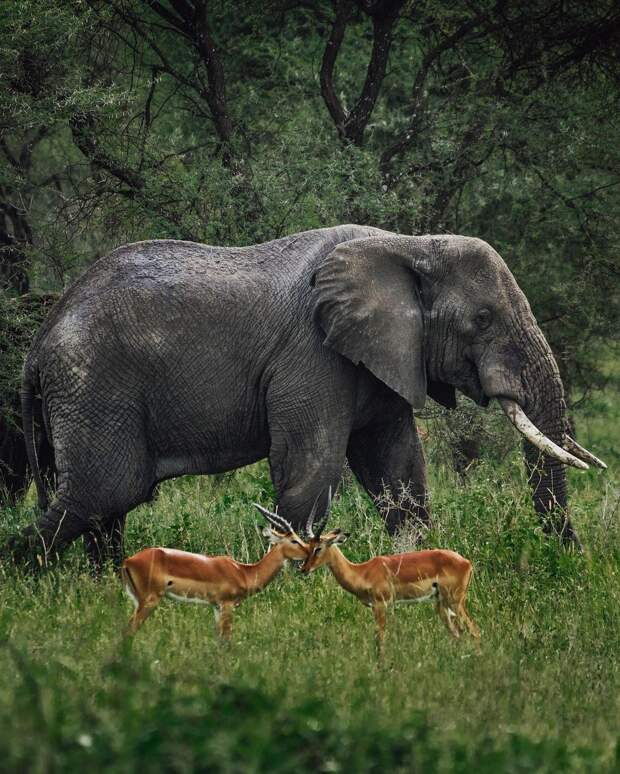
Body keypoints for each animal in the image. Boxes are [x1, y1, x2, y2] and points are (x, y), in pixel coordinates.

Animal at [9, 224, 604, 568]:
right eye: (482, 319)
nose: (574, 559)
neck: (409, 244)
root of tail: (41, 339)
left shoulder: (381, 355)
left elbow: (397, 469)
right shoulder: (313, 354)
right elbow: (312, 468)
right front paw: (291, 582)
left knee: (103, 506)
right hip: (95, 385)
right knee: (105, 490)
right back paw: (26, 575)